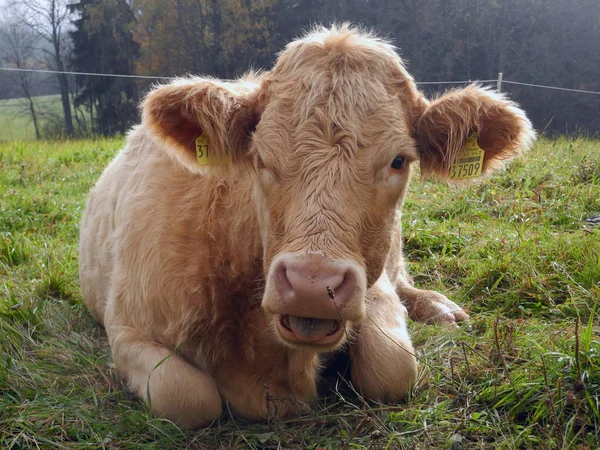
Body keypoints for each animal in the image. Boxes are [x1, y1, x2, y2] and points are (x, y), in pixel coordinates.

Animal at [78, 25, 536, 428]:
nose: (313, 285)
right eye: (260, 157)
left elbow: (392, 368)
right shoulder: (127, 326)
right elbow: (186, 396)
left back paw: (441, 308)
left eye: (399, 160)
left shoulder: (373, 286)